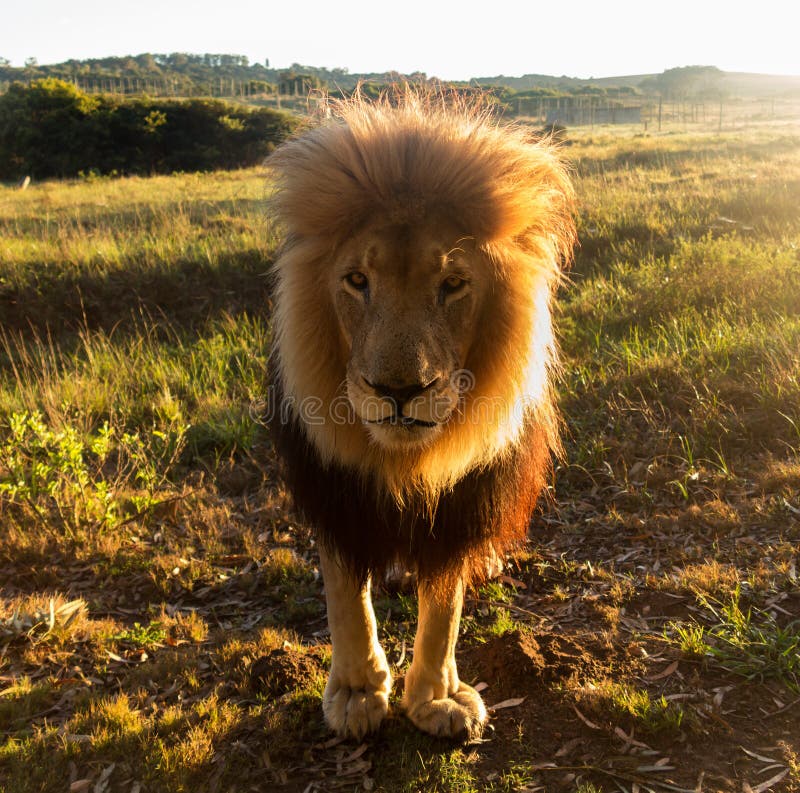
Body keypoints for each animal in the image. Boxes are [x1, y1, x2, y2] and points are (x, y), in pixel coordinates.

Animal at [268, 93, 576, 744]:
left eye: (453, 284)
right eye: (357, 280)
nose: (399, 391)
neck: (402, 459)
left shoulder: (464, 499)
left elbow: (445, 606)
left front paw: (436, 698)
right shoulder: (334, 487)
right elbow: (345, 596)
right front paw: (356, 691)